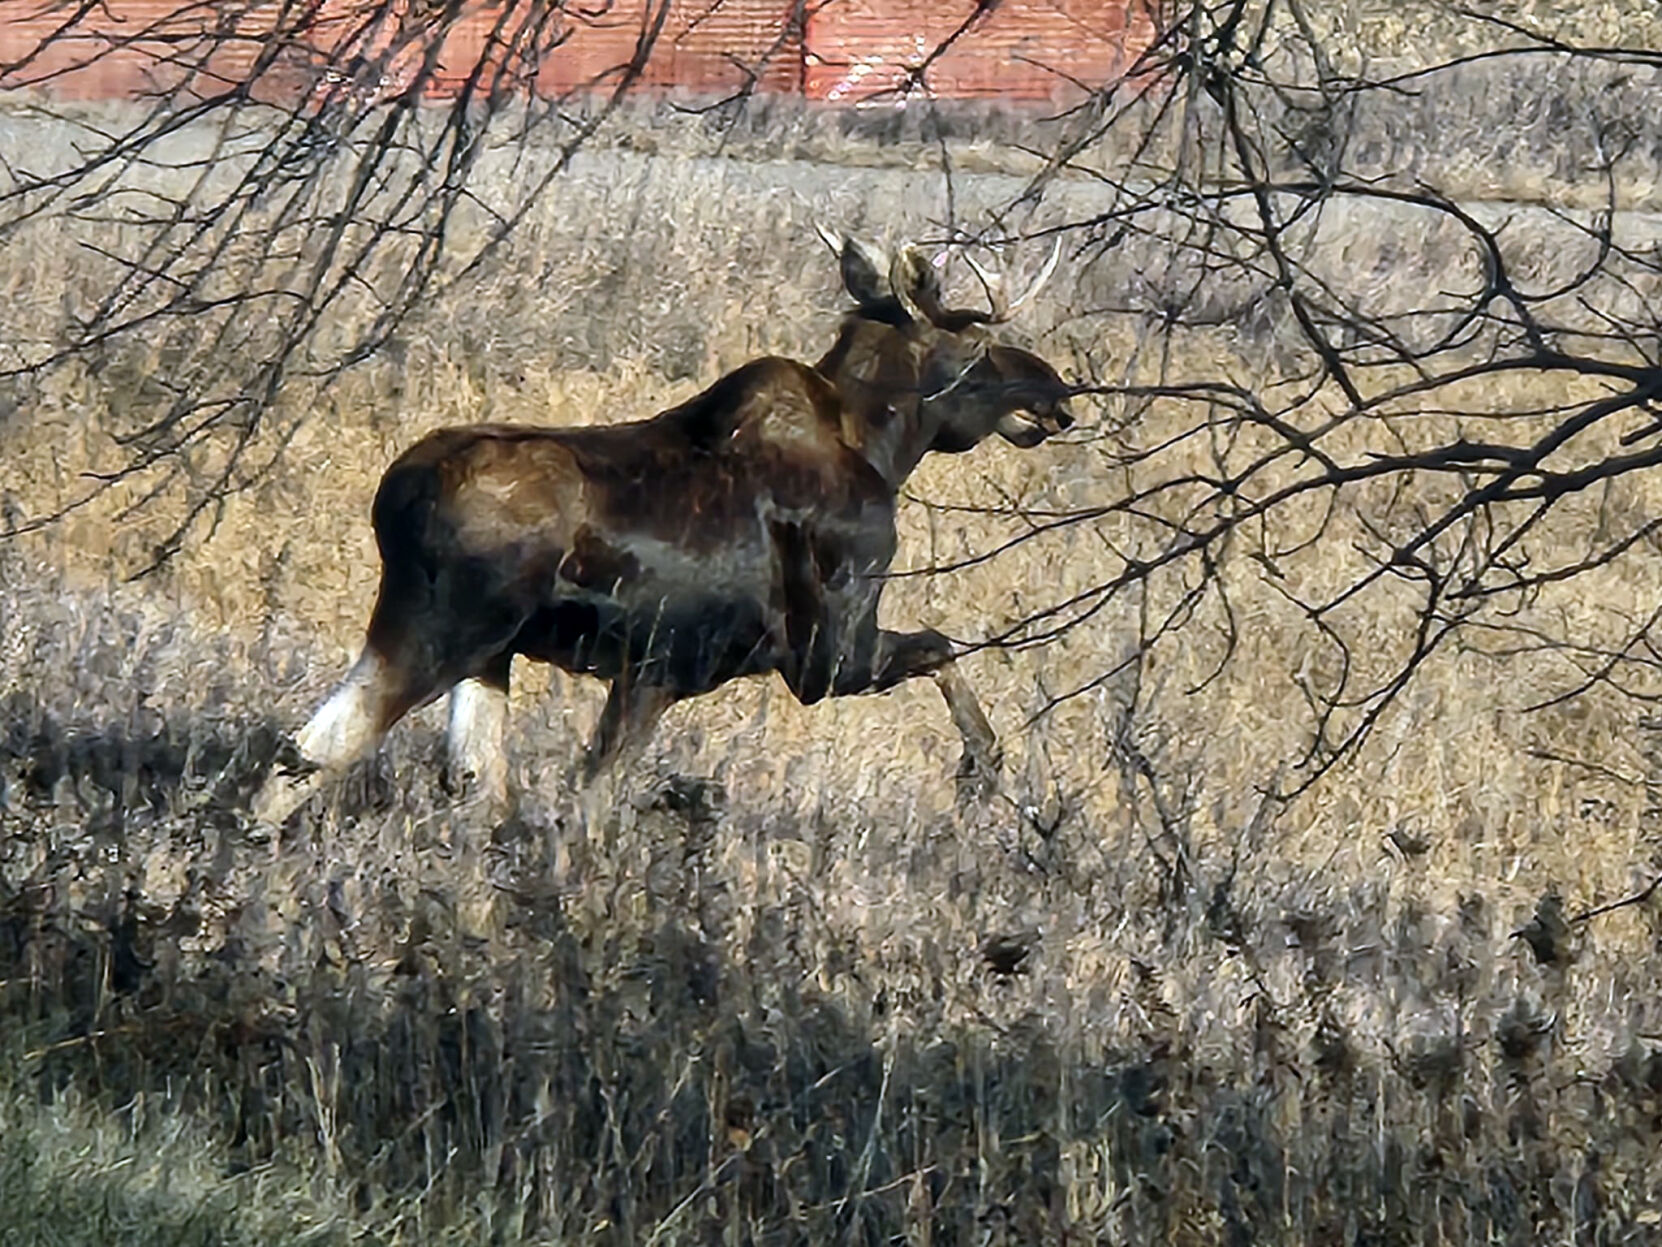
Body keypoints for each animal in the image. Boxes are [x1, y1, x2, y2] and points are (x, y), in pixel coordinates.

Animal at [252, 232, 1070, 831]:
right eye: (974, 348)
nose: (1056, 390)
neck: (883, 446)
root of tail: (392, 496)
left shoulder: (653, 675)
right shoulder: (825, 655)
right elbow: (943, 647)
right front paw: (984, 770)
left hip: (485, 652)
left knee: (460, 778)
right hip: (442, 627)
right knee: (311, 752)